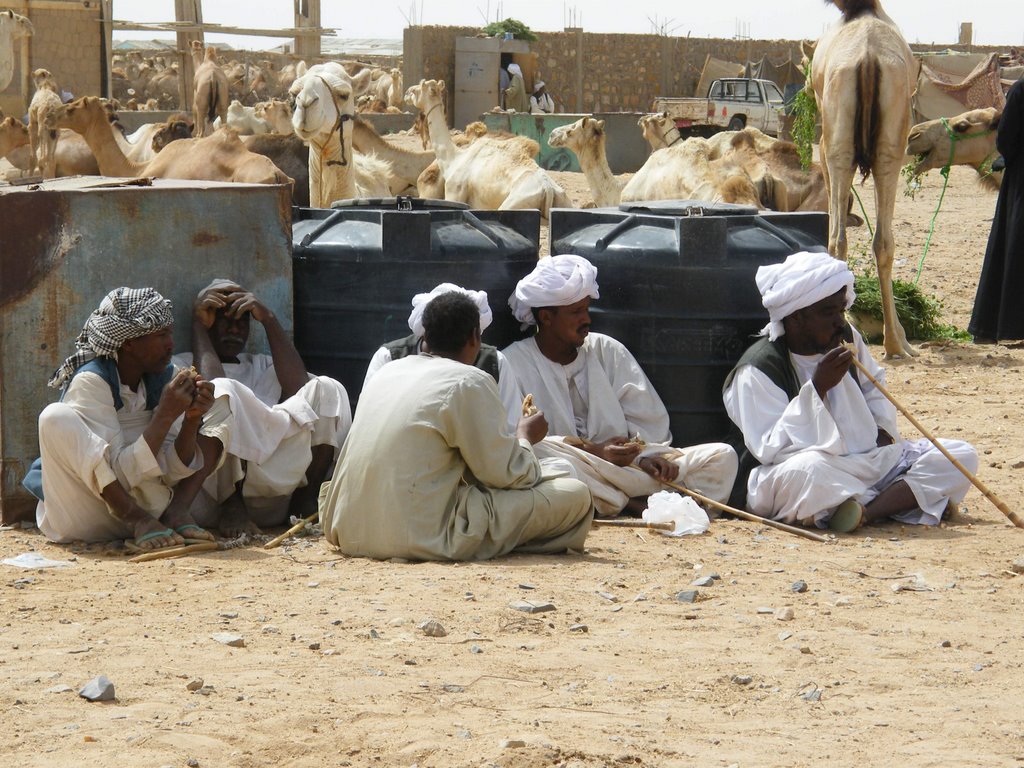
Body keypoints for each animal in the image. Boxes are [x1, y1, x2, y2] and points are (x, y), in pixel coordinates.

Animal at [403, 79, 573, 218]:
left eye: (420, 87)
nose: (406, 92)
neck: (454, 158)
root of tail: (548, 189)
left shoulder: (454, 191)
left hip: (515, 204)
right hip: (565, 202)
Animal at [806, 0, 921, 360]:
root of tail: (868, 57)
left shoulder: (825, 145)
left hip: (841, 145)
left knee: (838, 239)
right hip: (889, 149)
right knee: (880, 241)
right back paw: (896, 342)